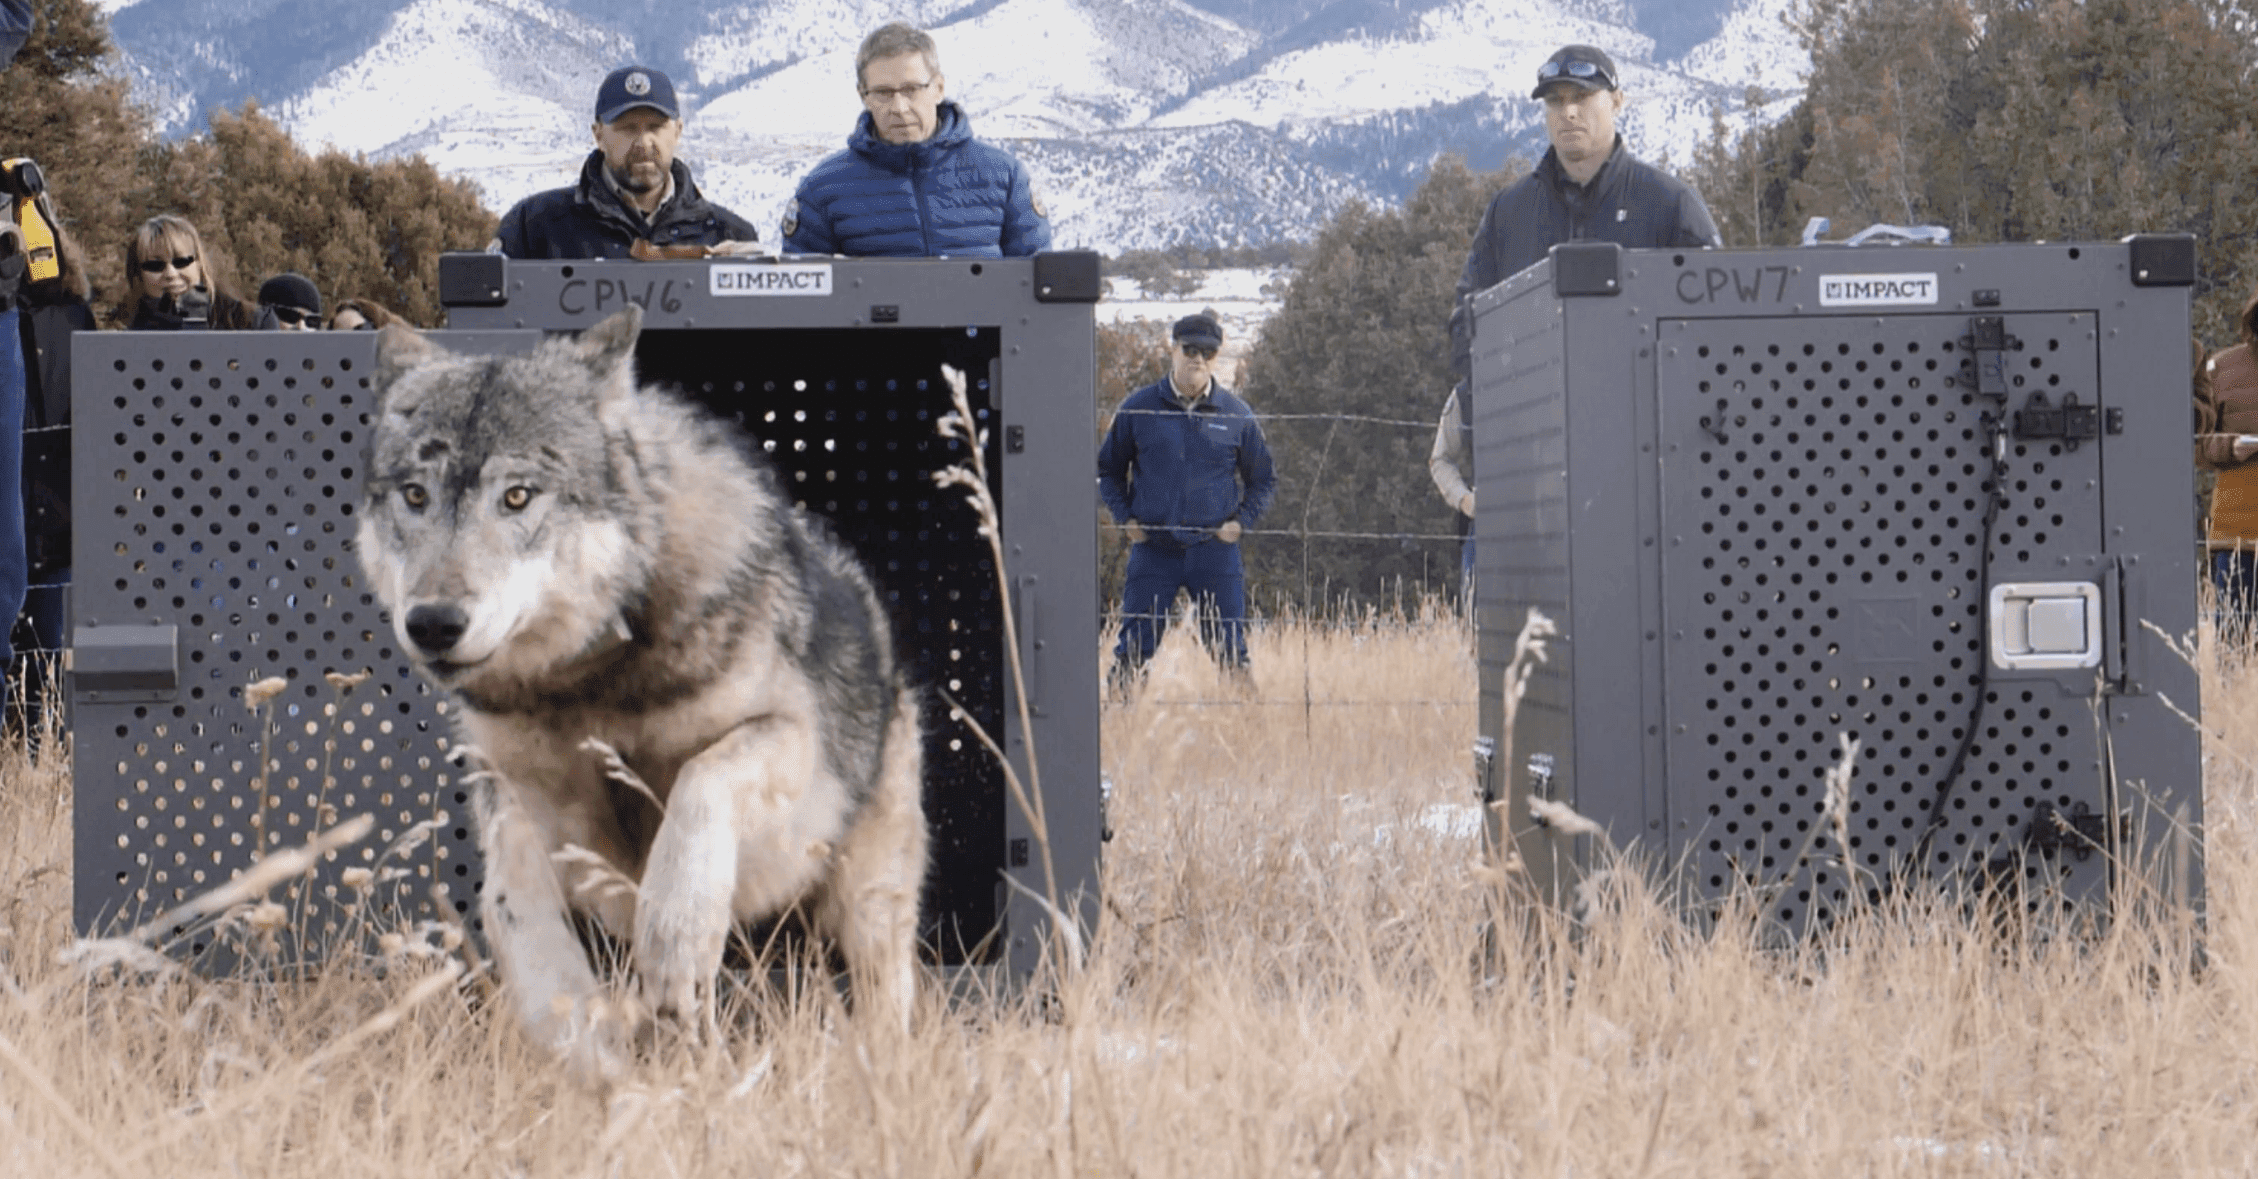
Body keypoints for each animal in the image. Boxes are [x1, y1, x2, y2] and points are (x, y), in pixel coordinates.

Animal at [356, 304, 928, 1081]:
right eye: (415, 496)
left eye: (517, 495)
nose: (434, 623)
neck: (592, 683)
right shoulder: (513, 788)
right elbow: (510, 900)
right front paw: (570, 1024)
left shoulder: (790, 743)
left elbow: (701, 781)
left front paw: (676, 936)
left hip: (866, 903)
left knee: (884, 994)